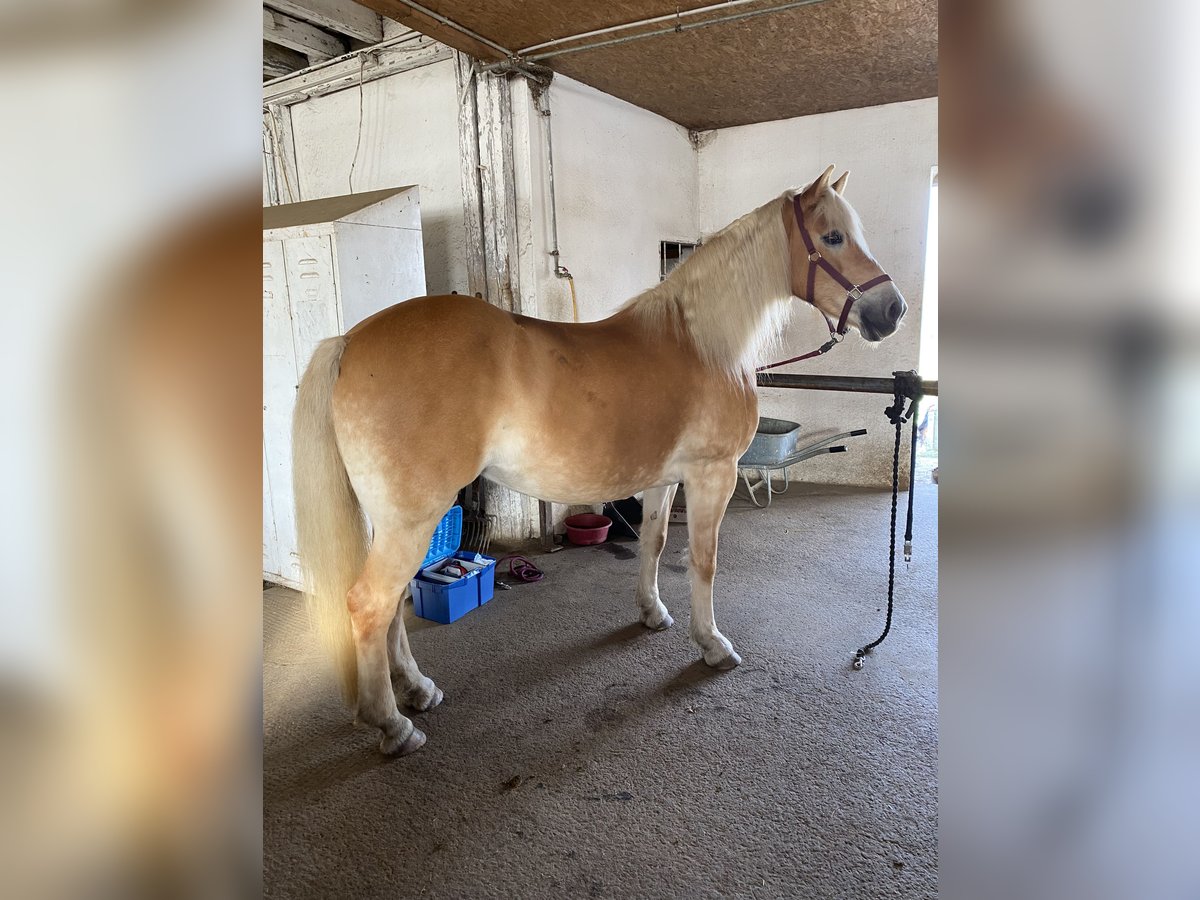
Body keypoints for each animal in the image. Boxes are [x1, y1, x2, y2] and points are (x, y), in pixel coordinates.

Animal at [295, 164, 902, 753]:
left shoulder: (665, 479)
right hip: (412, 517)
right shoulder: (713, 474)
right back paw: (394, 726)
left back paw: (417, 690)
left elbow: (654, 543)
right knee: (370, 604)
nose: (892, 309)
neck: (703, 342)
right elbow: (703, 560)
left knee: (393, 603)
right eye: (833, 236)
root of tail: (349, 340)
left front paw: (653, 614)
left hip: (396, 519)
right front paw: (712, 645)